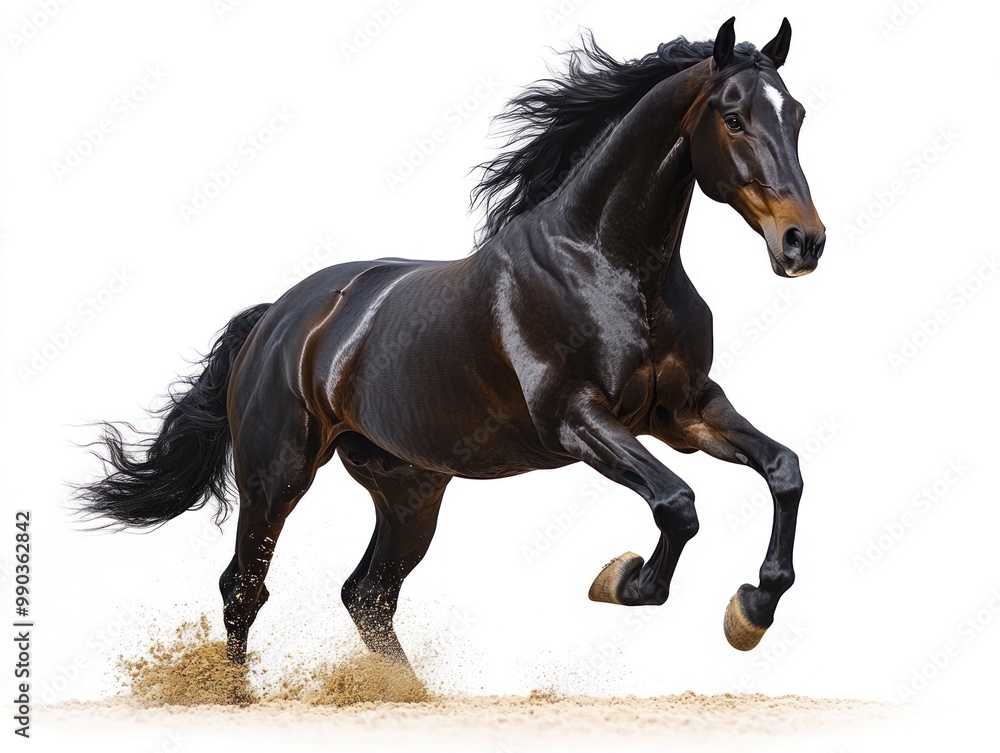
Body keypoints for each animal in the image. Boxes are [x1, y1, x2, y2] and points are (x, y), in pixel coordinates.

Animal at [76, 17, 825, 672]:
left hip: (409, 487)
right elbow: (678, 503)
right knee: (245, 586)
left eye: (796, 115)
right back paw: (237, 696)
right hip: (277, 471)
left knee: (367, 594)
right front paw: (622, 579)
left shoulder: (684, 411)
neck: (606, 263)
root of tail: (277, 319)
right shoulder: (578, 419)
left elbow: (783, 469)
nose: (803, 242)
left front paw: (752, 609)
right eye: (733, 116)